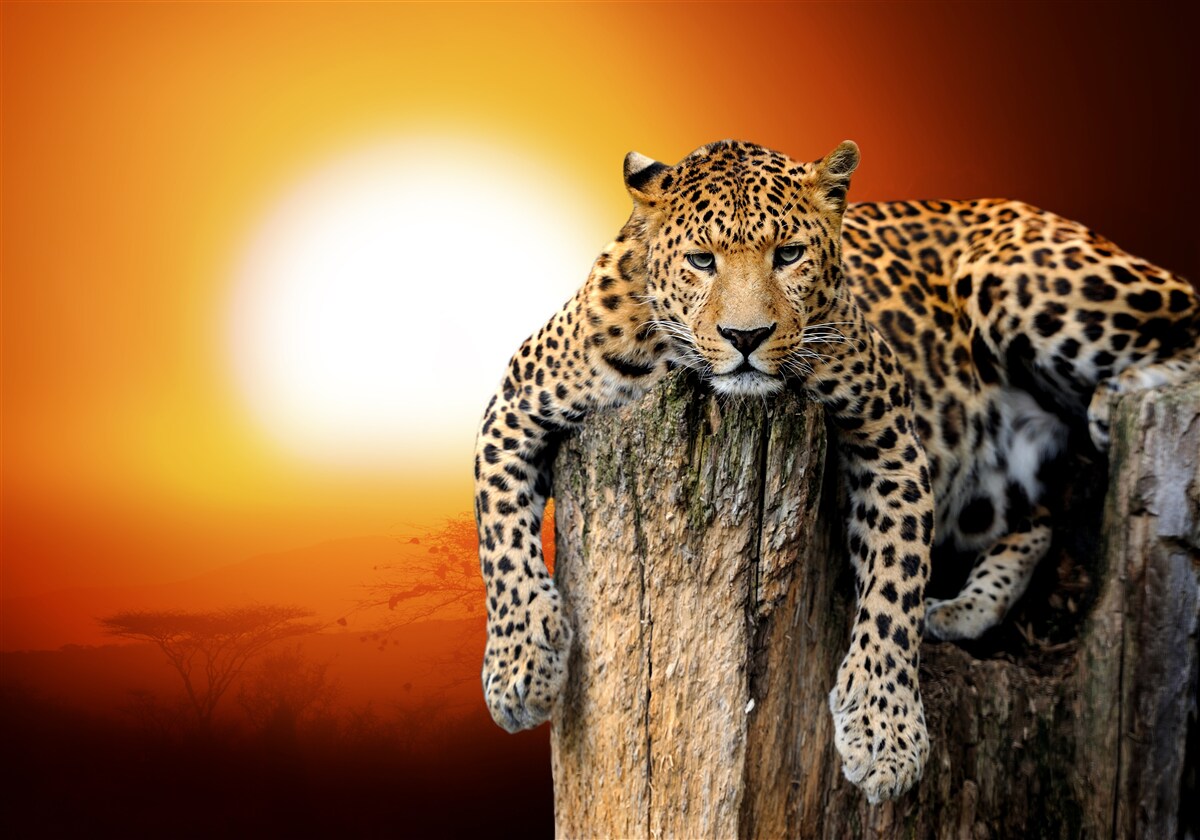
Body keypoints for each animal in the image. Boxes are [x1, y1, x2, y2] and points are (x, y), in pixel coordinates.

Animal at [472, 139, 1200, 804]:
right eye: (702, 261)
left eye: (789, 255)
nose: (745, 338)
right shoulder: (514, 404)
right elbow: (501, 543)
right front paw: (520, 669)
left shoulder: (888, 430)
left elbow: (895, 582)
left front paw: (885, 732)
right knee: (1039, 519)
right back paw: (962, 608)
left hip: (1020, 277)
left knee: (1187, 323)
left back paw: (1114, 398)